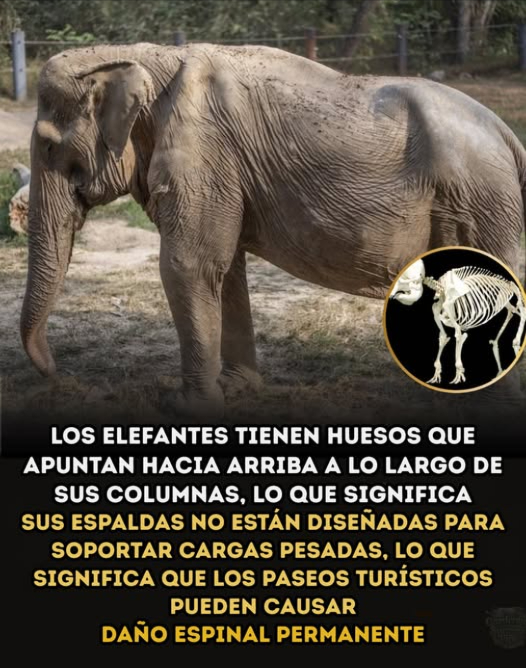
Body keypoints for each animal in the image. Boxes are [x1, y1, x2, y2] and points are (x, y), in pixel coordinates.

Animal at [21, 42, 526, 418]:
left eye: (47, 147)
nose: (59, 374)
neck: (142, 56)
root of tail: (507, 134)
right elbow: (224, 269)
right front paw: (237, 389)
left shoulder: (203, 154)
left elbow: (188, 266)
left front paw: (183, 406)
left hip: (480, 201)